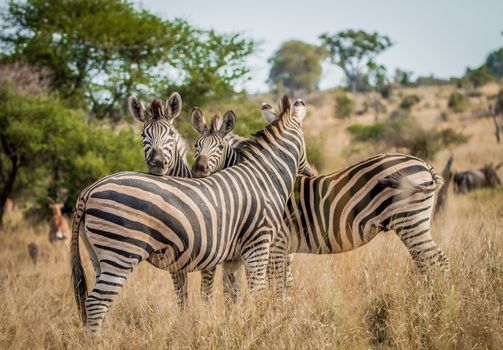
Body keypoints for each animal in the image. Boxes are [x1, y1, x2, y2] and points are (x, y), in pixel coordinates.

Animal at [69, 95, 310, 334]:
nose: (310, 172)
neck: (264, 175)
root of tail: (89, 190)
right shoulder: (258, 244)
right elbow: (257, 295)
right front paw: (260, 328)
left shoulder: (232, 257)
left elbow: (231, 297)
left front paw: (232, 329)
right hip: (121, 251)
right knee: (96, 303)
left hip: (98, 256)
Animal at [191, 102, 450, 292]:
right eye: (196, 146)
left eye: (220, 147)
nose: (199, 170)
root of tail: (423, 163)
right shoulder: (284, 248)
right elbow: (285, 286)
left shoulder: (275, 244)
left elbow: (275, 287)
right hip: (414, 223)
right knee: (431, 261)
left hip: (410, 222)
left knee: (436, 261)